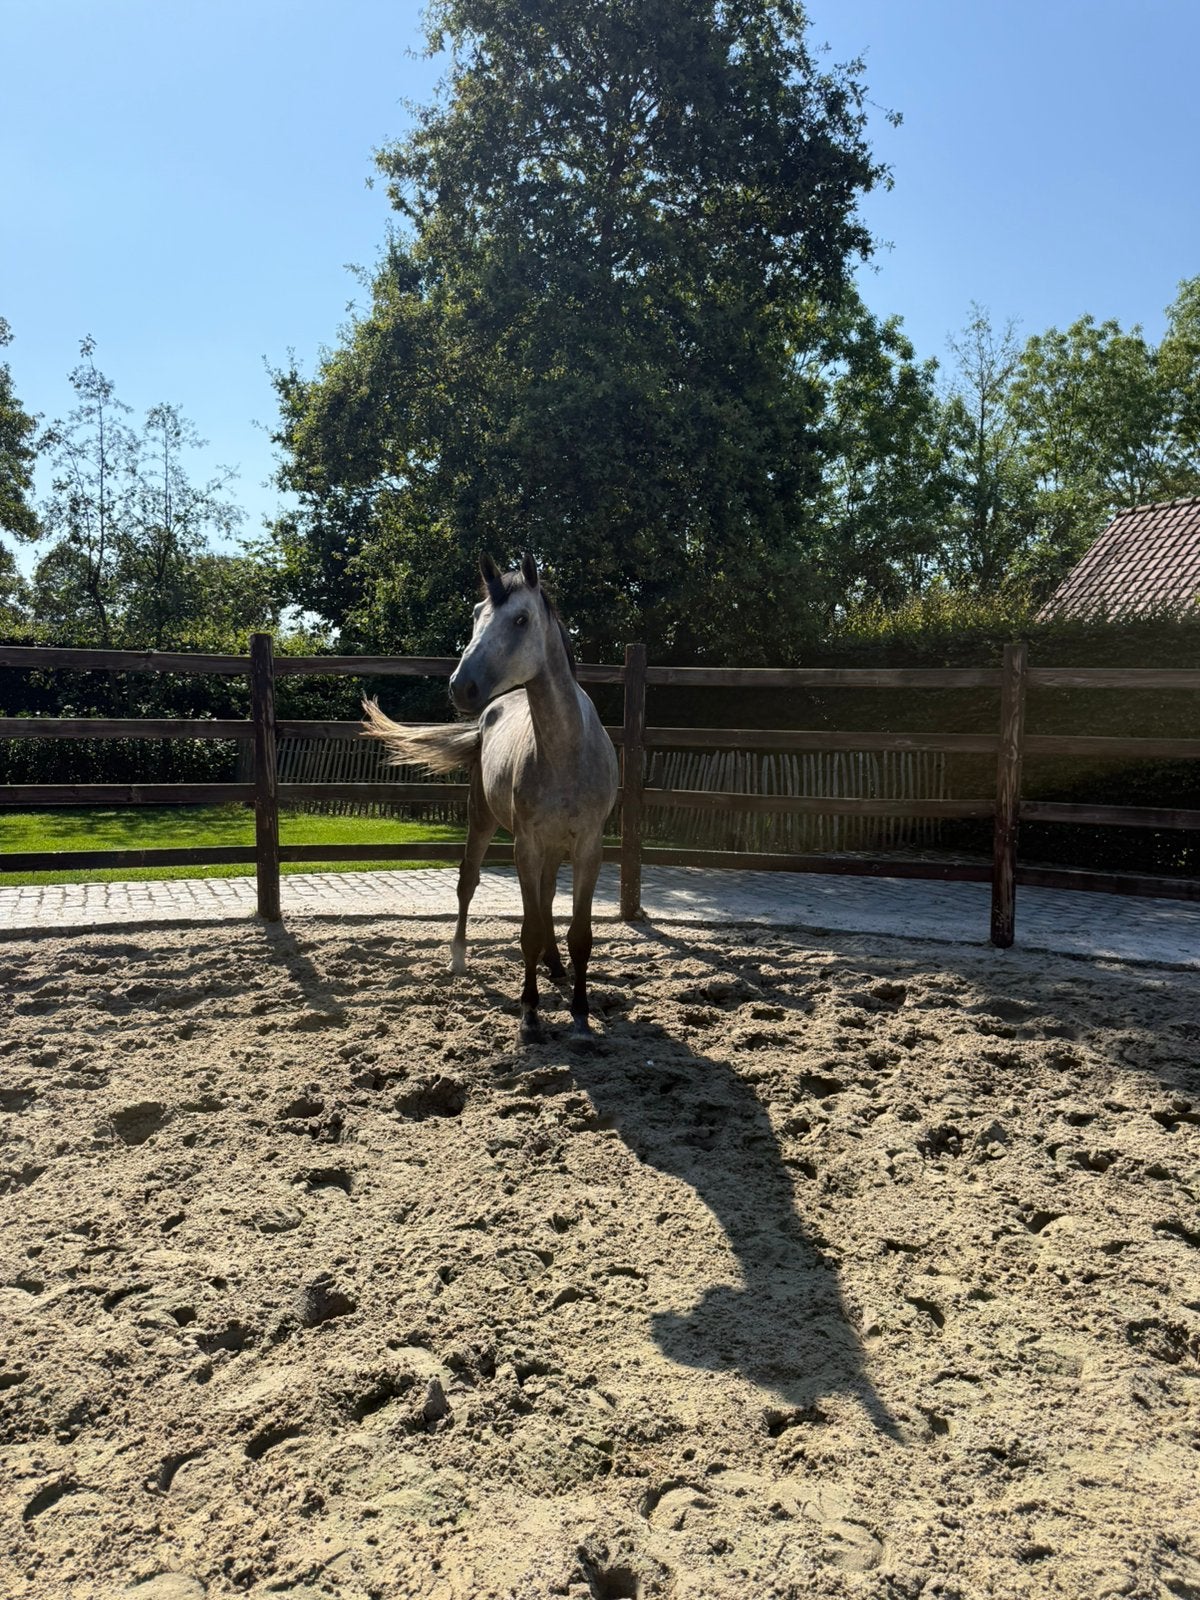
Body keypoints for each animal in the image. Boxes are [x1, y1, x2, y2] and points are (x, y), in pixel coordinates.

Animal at [362, 553, 619, 1044]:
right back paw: (460, 957)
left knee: (545, 898)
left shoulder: (588, 847)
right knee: (469, 882)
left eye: (520, 619)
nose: (461, 687)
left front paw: (580, 1012)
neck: (567, 751)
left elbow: (579, 933)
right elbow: (528, 931)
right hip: (482, 821)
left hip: (551, 846)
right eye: (476, 614)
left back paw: (556, 967)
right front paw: (530, 1014)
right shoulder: (525, 845)